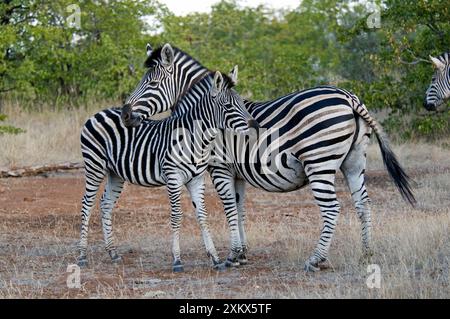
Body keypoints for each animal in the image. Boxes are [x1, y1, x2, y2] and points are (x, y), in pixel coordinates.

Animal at [77, 68, 256, 272]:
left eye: (242, 102)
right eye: (227, 106)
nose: (254, 127)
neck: (196, 139)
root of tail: (98, 113)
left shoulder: (197, 179)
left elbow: (202, 215)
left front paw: (215, 258)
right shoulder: (173, 177)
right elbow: (176, 216)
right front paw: (177, 260)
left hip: (115, 173)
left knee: (106, 204)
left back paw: (113, 253)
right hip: (94, 165)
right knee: (87, 204)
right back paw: (82, 256)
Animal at [122, 42, 414, 272]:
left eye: (152, 83)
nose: (125, 114)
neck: (205, 116)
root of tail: (349, 97)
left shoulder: (219, 167)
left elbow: (229, 207)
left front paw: (232, 256)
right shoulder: (237, 172)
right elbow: (239, 208)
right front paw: (242, 254)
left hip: (319, 162)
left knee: (332, 208)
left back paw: (315, 260)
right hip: (354, 162)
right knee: (363, 205)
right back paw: (367, 254)